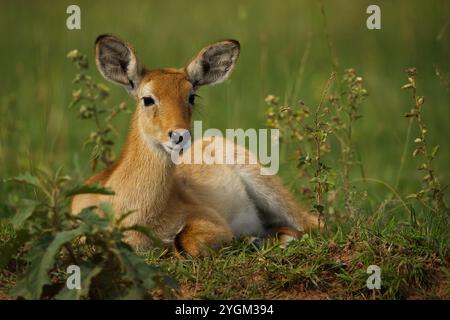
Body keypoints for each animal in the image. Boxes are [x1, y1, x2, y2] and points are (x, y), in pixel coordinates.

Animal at [71, 34, 316, 255]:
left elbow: (185, 240)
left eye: (192, 96)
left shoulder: (210, 219)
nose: (180, 135)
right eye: (148, 98)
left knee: (313, 222)